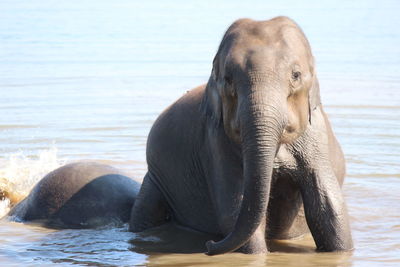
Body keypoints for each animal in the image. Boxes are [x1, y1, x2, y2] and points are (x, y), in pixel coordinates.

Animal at [129, 16, 354, 255]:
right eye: (228, 79)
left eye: (296, 75)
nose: (209, 246)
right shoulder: (217, 141)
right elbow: (234, 209)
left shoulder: (316, 136)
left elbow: (329, 206)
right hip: (154, 179)